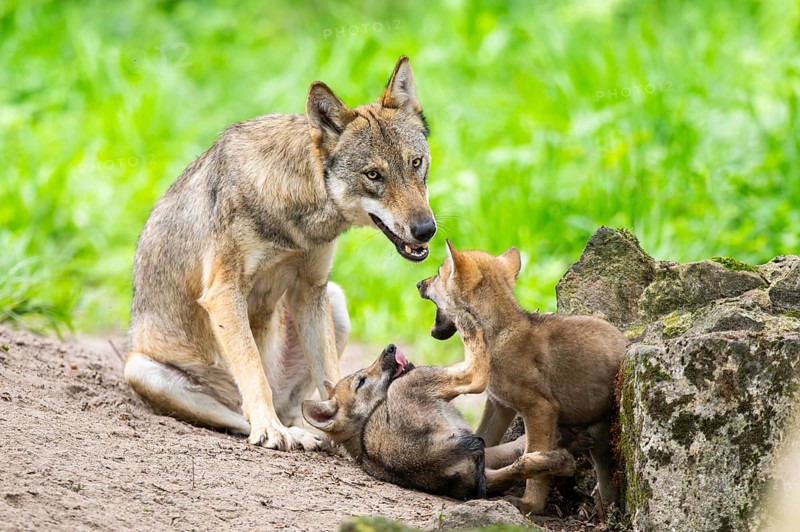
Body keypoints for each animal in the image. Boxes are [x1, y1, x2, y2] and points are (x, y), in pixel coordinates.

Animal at [124, 56, 436, 451]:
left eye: (416, 163)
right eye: (373, 175)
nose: (426, 229)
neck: (298, 215)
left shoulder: (310, 290)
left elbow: (332, 377)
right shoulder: (224, 292)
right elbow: (253, 370)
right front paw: (270, 431)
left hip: (334, 301)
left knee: (287, 407)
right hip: (141, 370)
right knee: (239, 415)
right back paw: (284, 431)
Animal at [302, 331, 575, 499]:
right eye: (361, 381)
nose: (390, 347)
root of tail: (424, 458)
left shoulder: (480, 454)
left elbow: (510, 453)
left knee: (519, 467)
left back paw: (560, 460)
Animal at [417, 241, 627, 514]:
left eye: (438, 274)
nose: (419, 283)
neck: (497, 337)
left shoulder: (540, 409)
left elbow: (535, 463)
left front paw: (530, 504)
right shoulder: (499, 405)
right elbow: (484, 439)